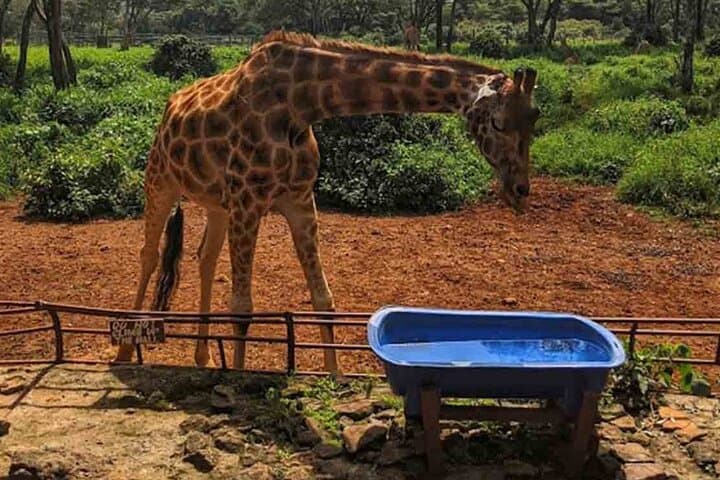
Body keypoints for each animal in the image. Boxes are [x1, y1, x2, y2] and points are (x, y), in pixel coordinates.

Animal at [114, 30, 540, 372]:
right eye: (498, 122)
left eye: (535, 120)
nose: (520, 189)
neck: (300, 104)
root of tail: (169, 106)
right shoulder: (249, 201)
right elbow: (242, 308)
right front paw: (238, 376)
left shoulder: (299, 201)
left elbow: (324, 299)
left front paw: (334, 377)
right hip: (160, 181)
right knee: (149, 255)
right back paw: (123, 351)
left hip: (217, 203)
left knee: (205, 258)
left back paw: (202, 358)